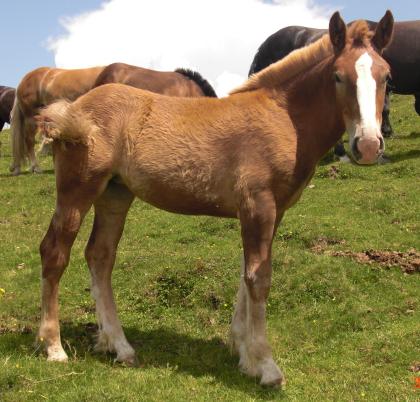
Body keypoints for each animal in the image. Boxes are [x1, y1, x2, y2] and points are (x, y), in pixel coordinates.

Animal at [36, 10, 394, 386]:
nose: (368, 145)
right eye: (338, 76)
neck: (283, 117)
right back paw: (54, 347)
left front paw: (243, 354)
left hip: (114, 193)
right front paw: (266, 365)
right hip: (78, 189)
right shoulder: (258, 205)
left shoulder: (272, 211)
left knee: (100, 256)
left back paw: (119, 346)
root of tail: (70, 110)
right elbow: (258, 278)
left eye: (387, 76)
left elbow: (246, 273)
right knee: (54, 252)